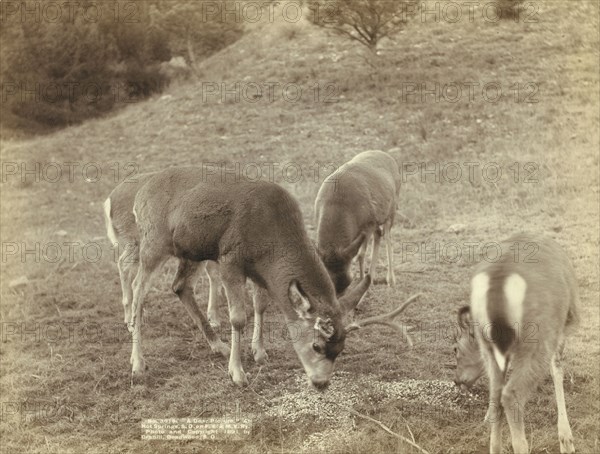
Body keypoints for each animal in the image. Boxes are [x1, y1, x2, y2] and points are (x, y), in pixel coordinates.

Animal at [103, 168, 418, 390]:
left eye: (341, 349)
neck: (271, 238)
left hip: (189, 251)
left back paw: (216, 345)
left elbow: (261, 307)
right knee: (138, 291)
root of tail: (140, 192)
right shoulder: (230, 259)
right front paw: (238, 373)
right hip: (153, 242)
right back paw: (138, 361)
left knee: (180, 286)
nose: (321, 383)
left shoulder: (260, 271)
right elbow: (238, 318)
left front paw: (259, 352)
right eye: (316, 345)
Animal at [314, 151, 404, 294]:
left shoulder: (368, 223)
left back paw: (390, 280)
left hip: (392, 209)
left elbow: (361, 254)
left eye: (348, 282)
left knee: (387, 236)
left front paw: (363, 288)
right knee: (379, 234)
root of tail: (388, 156)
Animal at [452, 234, 580, 454]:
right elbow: (557, 370)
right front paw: (566, 441)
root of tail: (498, 282)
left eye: (456, 349)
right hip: (537, 337)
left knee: (496, 394)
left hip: (491, 347)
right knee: (511, 394)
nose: (457, 380)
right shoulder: (559, 329)